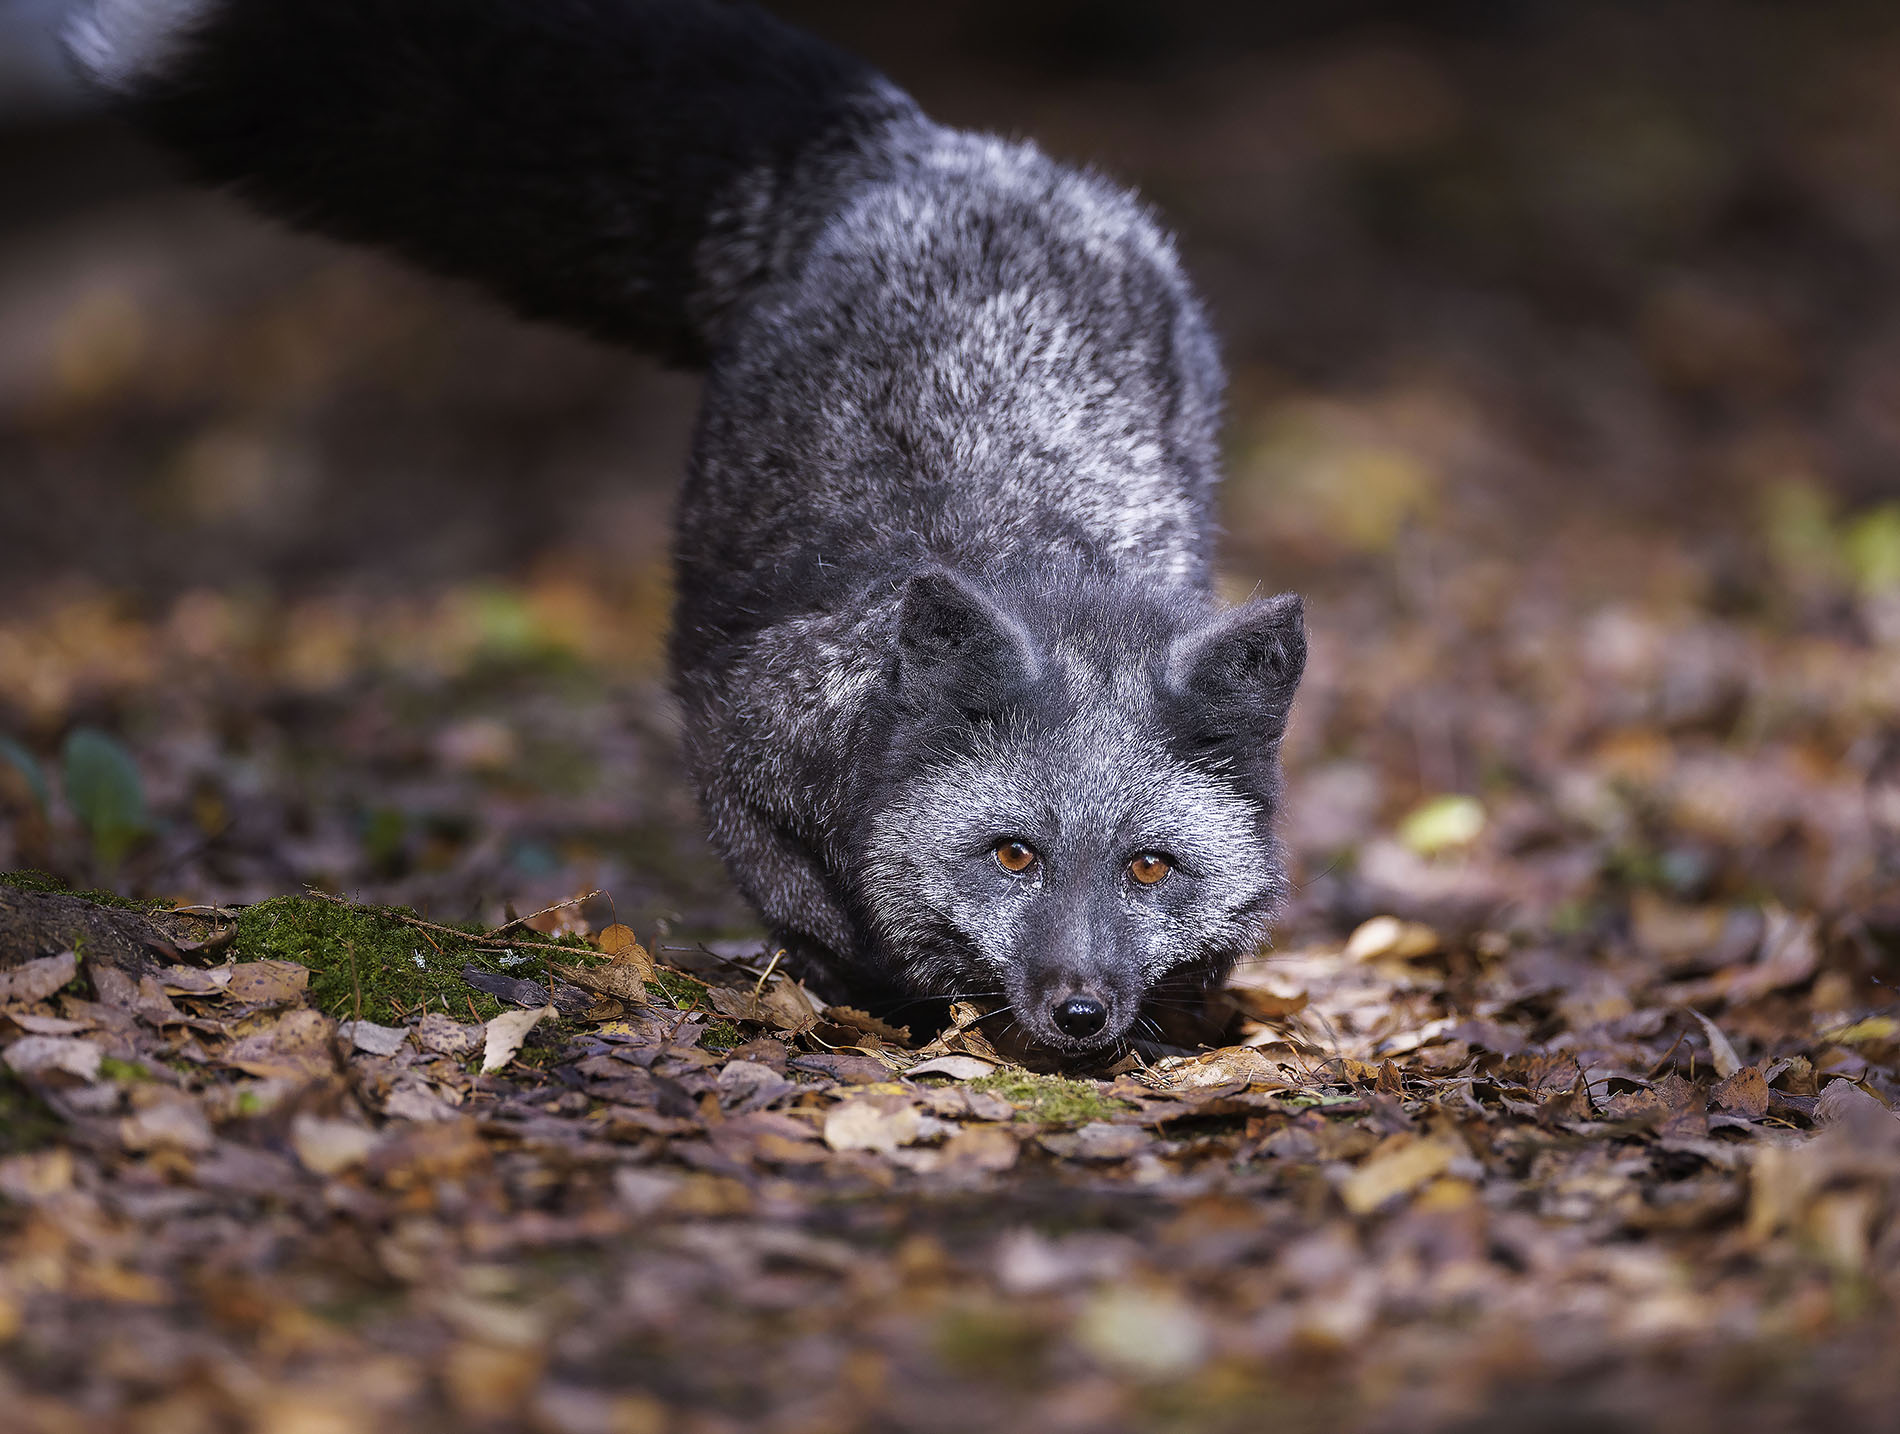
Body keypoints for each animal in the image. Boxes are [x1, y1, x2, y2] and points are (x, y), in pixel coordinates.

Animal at [70, 0, 1307, 1056]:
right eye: (1014, 856)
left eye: (1150, 869)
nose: (1082, 1014)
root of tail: (924, 149)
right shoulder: (735, 755)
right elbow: (819, 920)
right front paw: (889, 991)